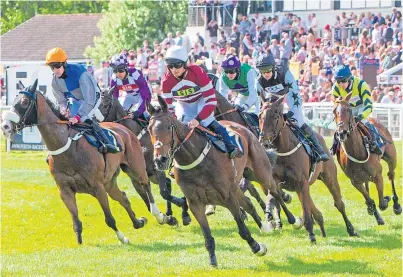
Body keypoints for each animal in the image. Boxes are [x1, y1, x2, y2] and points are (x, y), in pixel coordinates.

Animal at [0, 79, 170, 244]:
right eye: (13, 100)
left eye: (24, 102)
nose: (5, 126)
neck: (67, 147)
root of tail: (124, 129)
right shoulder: (65, 191)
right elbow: (76, 223)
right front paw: (80, 243)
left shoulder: (97, 187)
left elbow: (109, 219)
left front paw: (122, 237)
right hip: (110, 182)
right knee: (123, 197)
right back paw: (139, 222)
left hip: (135, 167)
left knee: (145, 184)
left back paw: (160, 215)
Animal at [98, 87, 192, 225]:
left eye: (105, 105)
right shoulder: (135, 176)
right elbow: (146, 199)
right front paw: (167, 217)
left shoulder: (157, 169)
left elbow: (164, 193)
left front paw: (180, 206)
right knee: (169, 183)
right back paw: (170, 212)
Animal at [147, 95, 298, 266]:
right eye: (149, 129)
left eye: (168, 127)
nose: (160, 160)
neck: (194, 158)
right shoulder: (195, 203)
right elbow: (207, 236)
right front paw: (213, 260)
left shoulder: (228, 196)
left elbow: (243, 230)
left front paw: (257, 247)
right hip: (238, 182)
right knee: (249, 203)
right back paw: (265, 226)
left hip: (260, 173)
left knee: (275, 191)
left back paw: (293, 219)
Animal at [258, 95, 360, 242]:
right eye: (260, 116)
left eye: (275, 116)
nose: (264, 142)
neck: (284, 150)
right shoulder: (276, 181)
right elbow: (275, 197)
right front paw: (273, 217)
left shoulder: (302, 182)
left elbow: (305, 210)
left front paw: (310, 234)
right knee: (312, 207)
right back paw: (320, 224)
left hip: (329, 178)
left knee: (339, 204)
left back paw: (351, 229)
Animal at [332, 93, 402, 224]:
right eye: (334, 111)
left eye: (349, 110)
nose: (342, 132)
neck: (357, 152)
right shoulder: (355, 181)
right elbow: (370, 201)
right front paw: (374, 212)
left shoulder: (377, 175)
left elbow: (382, 204)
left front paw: (386, 199)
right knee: (368, 186)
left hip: (391, 158)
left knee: (391, 174)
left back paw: (396, 204)